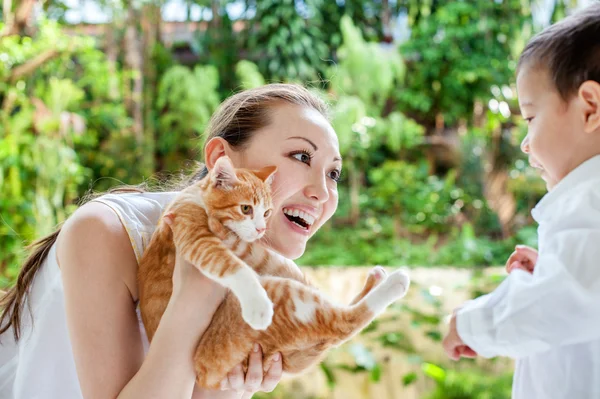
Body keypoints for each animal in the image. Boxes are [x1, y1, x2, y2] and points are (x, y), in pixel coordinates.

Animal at [138, 157, 410, 390]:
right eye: (246, 208)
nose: (260, 229)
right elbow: (235, 268)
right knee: (345, 322)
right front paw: (257, 304)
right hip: (284, 293)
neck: (196, 196)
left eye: (267, 212)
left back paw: (380, 278)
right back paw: (396, 282)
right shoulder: (197, 239)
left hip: (277, 268)